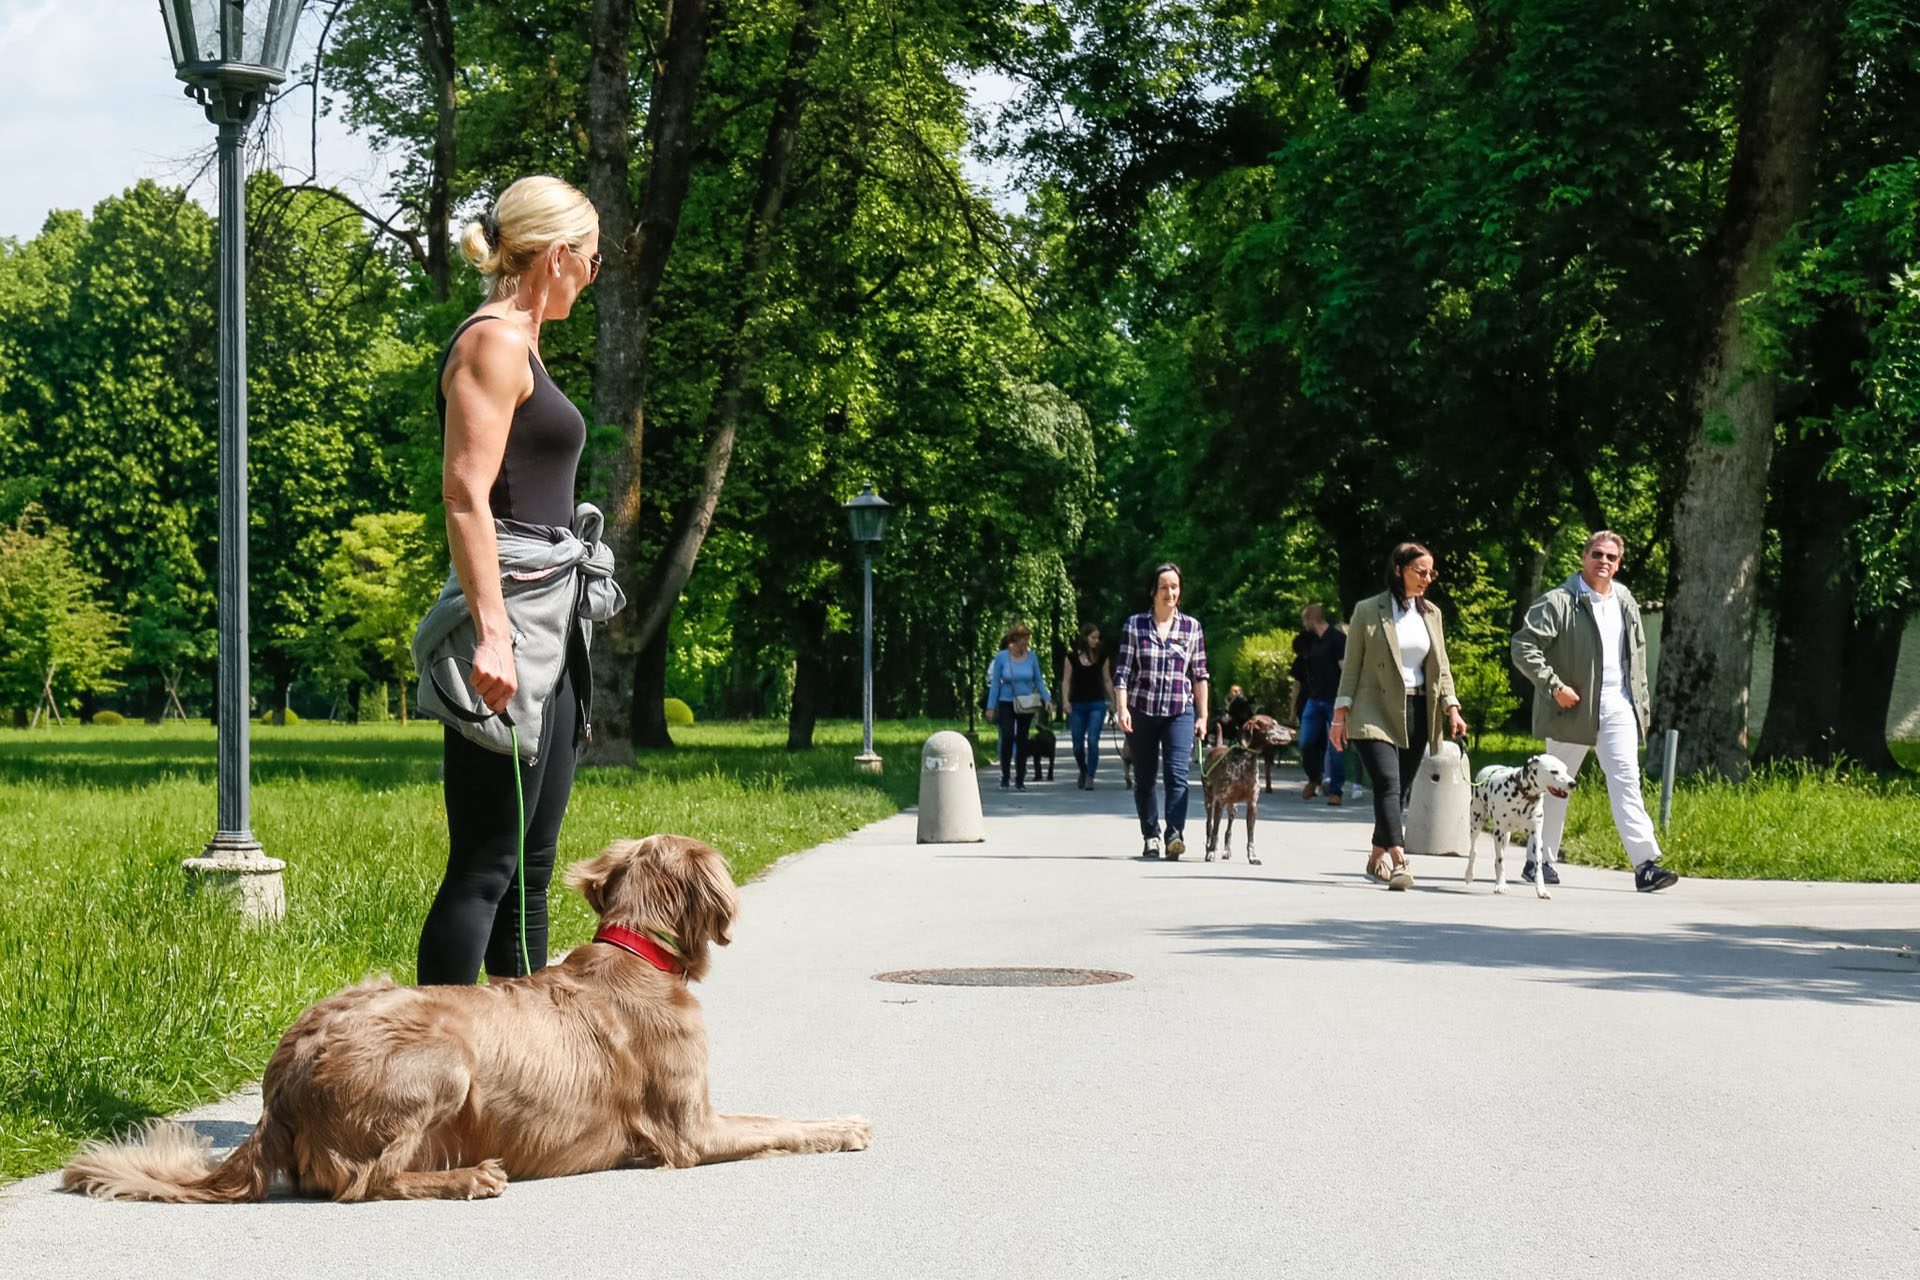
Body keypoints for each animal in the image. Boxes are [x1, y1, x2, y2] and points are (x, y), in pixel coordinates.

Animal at [1466, 752, 1574, 901]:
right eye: (1554, 771)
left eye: (1566, 770)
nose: (1573, 783)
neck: (1522, 795)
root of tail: (1487, 768)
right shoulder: (1498, 833)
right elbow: (1500, 860)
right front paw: (1501, 885)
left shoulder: (1536, 837)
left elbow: (1538, 866)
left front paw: (1541, 890)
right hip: (1477, 823)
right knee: (1473, 851)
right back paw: (1469, 874)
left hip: (1506, 837)